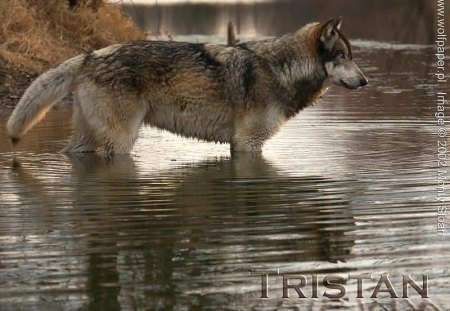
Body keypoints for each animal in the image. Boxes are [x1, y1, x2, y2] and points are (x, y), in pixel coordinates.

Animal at [6, 16, 366, 155]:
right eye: (344, 56)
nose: (365, 81)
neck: (282, 69)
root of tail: (89, 56)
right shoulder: (247, 144)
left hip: (88, 140)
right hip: (120, 141)